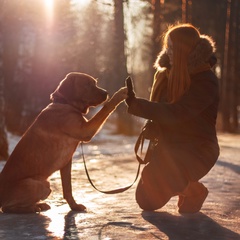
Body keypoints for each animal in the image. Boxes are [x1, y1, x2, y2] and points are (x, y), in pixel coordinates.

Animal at [0, 72, 127, 213]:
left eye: (95, 83)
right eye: (88, 84)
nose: (106, 93)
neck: (65, 103)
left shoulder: (67, 162)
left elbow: (68, 188)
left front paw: (74, 206)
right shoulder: (85, 131)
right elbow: (105, 108)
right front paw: (120, 94)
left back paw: (40, 205)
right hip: (38, 184)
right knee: (6, 208)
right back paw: (32, 208)